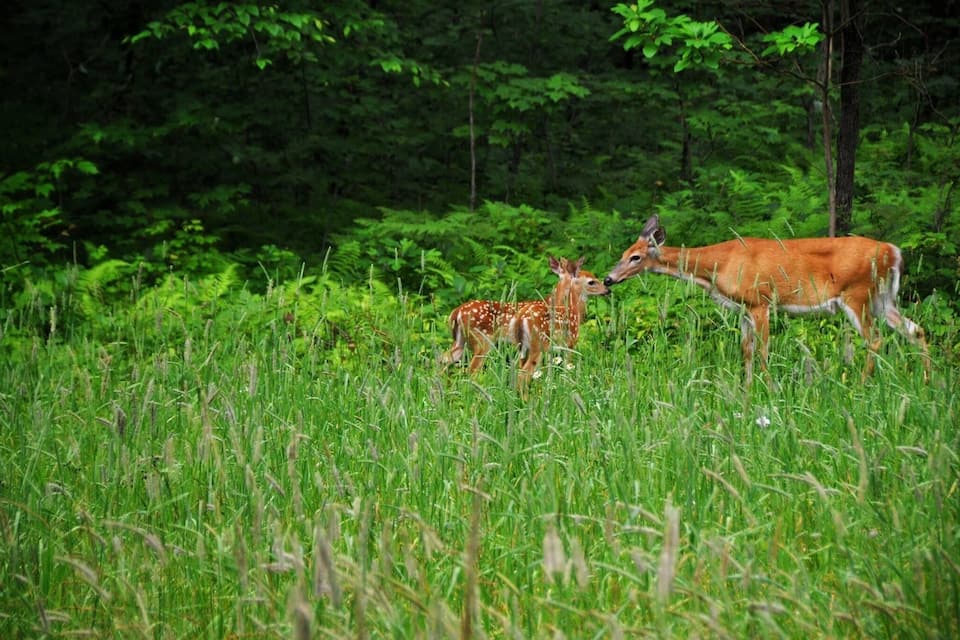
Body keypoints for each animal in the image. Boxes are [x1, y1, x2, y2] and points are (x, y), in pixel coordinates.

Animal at [442, 256, 611, 394]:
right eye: (591, 281)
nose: (607, 289)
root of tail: (456, 312)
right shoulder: (569, 343)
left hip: (462, 342)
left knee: (443, 360)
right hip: (484, 342)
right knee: (474, 370)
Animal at [604, 215, 930, 386]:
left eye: (635, 257)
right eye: (622, 253)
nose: (608, 279)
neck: (719, 266)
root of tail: (893, 251)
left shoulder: (760, 302)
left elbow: (761, 351)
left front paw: (767, 387)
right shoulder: (743, 309)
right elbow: (746, 350)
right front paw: (746, 388)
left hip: (857, 293)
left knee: (875, 338)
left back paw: (861, 384)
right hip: (882, 299)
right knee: (915, 330)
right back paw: (927, 379)